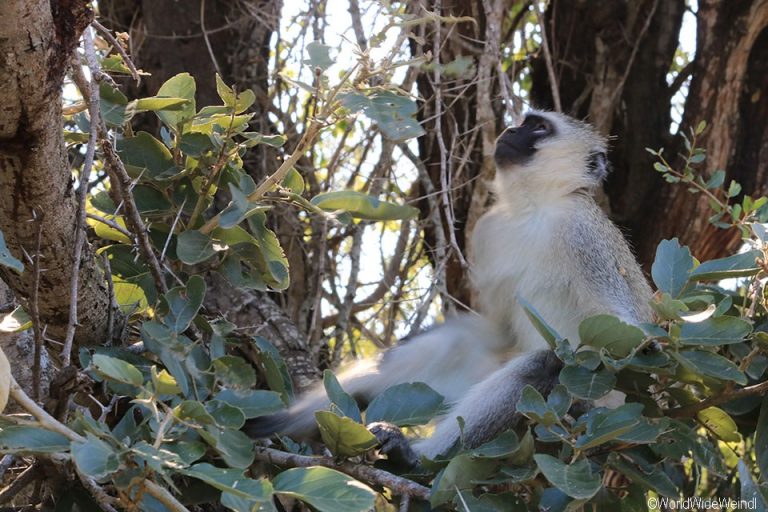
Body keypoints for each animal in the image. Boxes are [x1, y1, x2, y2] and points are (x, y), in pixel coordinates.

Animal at [243, 111, 652, 464]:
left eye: (538, 127)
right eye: (524, 122)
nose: (509, 130)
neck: (533, 211)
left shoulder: (584, 237)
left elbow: (632, 340)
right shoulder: (488, 233)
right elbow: (500, 328)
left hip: (596, 414)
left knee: (541, 365)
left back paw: (414, 457)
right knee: (452, 347)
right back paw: (283, 421)